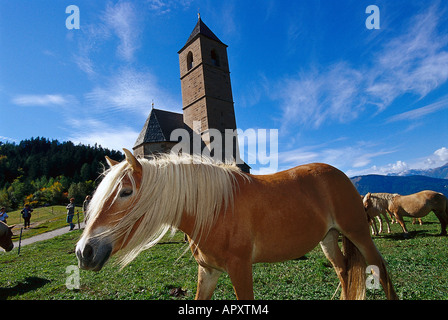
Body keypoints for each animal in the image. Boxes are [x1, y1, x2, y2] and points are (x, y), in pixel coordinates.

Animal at [75, 150, 398, 300]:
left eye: (126, 192)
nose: (83, 252)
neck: (214, 209)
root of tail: (342, 175)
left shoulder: (240, 268)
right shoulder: (208, 271)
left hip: (358, 233)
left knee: (380, 269)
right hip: (329, 238)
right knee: (344, 273)